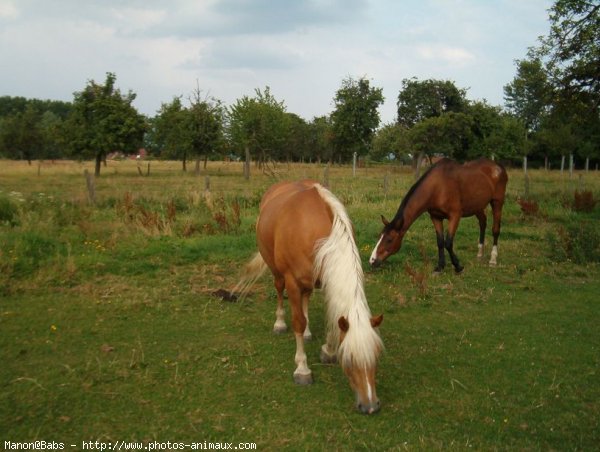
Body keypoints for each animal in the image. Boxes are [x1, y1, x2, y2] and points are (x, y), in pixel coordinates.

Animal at [232, 180, 382, 414]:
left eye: (376, 356)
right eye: (349, 360)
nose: (370, 406)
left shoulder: (326, 278)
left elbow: (331, 318)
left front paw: (328, 351)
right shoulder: (292, 282)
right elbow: (298, 322)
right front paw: (302, 369)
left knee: (306, 301)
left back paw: (309, 332)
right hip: (278, 273)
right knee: (280, 293)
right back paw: (280, 323)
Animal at [370, 158, 506, 272]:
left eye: (389, 239)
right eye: (380, 236)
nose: (372, 260)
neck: (438, 187)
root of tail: (498, 166)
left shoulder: (455, 216)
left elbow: (448, 242)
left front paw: (458, 266)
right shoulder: (436, 217)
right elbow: (440, 242)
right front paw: (440, 267)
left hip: (497, 203)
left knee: (495, 229)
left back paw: (493, 259)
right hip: (478, 206)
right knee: (483, 223)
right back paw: (479, 254)